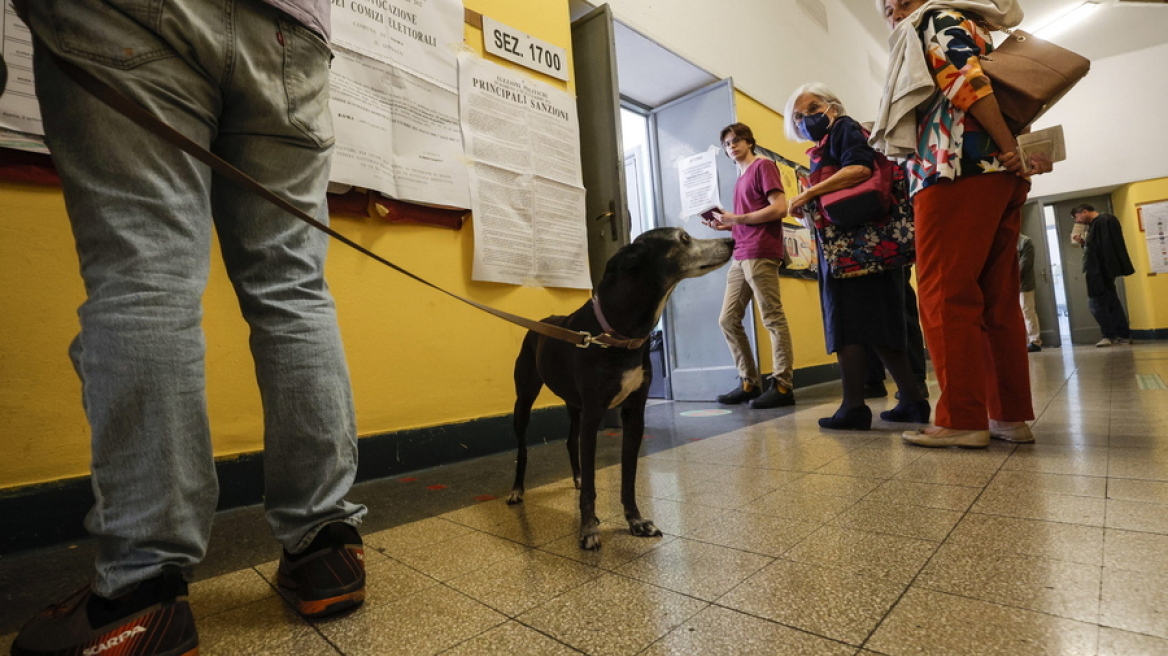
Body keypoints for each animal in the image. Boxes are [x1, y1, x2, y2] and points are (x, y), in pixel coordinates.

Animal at [509, 226, 733, 546]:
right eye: (684, 238)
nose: (732, 240)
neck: (620, 332)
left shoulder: (634, 413)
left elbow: (628, 476)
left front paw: (635, 521)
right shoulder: (594, 414)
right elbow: (593, 483)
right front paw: (588, 527)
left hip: (574, 406)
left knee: (570, 442)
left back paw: (576, 477)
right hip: (525, 400)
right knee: (522, 448)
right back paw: (517, 490)